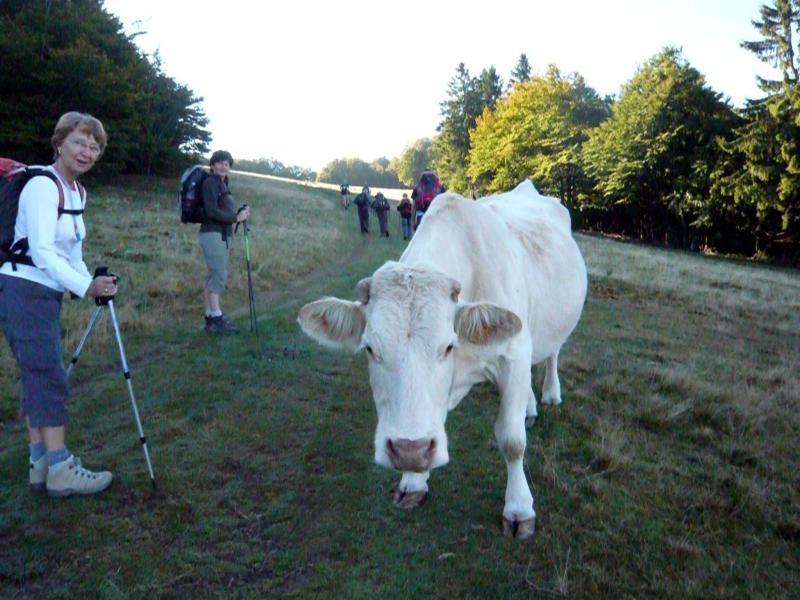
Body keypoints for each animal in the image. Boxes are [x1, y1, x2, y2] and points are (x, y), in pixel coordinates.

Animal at [296, 179, 584, 540]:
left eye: (448, 346)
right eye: (370, 349)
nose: (408, 449)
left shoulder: (514, 354)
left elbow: (512, 440)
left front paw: (519, 507)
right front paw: (413, 480)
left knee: (553, 354)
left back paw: (549, 394)